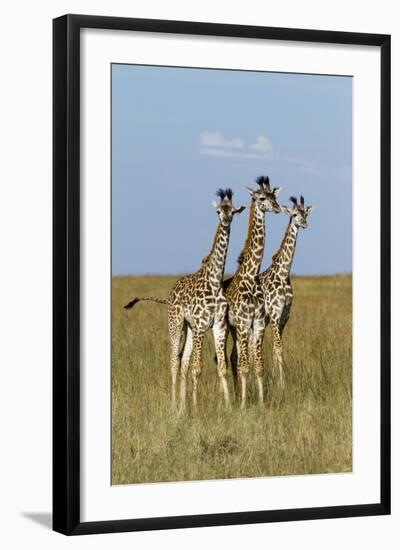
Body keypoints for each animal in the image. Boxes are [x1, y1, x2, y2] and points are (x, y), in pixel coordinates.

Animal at [125, 188, 245, 412]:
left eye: (232, 211)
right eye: (218, 211)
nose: (225, 220)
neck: (214, 280)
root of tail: (170, 293)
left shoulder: (218, 324)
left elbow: (221, 367)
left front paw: (227, 406)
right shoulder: (200, 325)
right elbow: (197, 368)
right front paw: (196, 408)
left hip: (189, 328)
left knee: (183, 363)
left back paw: (182, 405)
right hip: (176, 324)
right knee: (174, 361)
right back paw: (174, 404)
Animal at [223, 177, 282, 410]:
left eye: (274, 196)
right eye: (262, 198)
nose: (277, 208)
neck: (251, 275)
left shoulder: (256, 322)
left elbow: (258, 365)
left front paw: (261, 403)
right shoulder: (242, 321)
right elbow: (245, 365)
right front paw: (242, 406)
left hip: (236, 329)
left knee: (233, 357)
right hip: (228, 327)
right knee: (228, 359)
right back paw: (232, 397)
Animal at [260, 194, 316, 392]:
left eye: (305, 213)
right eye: (294, 214)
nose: (305, 224)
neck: (283, 274)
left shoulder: (284, 315)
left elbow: (276, 347)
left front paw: (275, 382)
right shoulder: (275, 314)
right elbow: (278, 347)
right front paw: (282, 386)